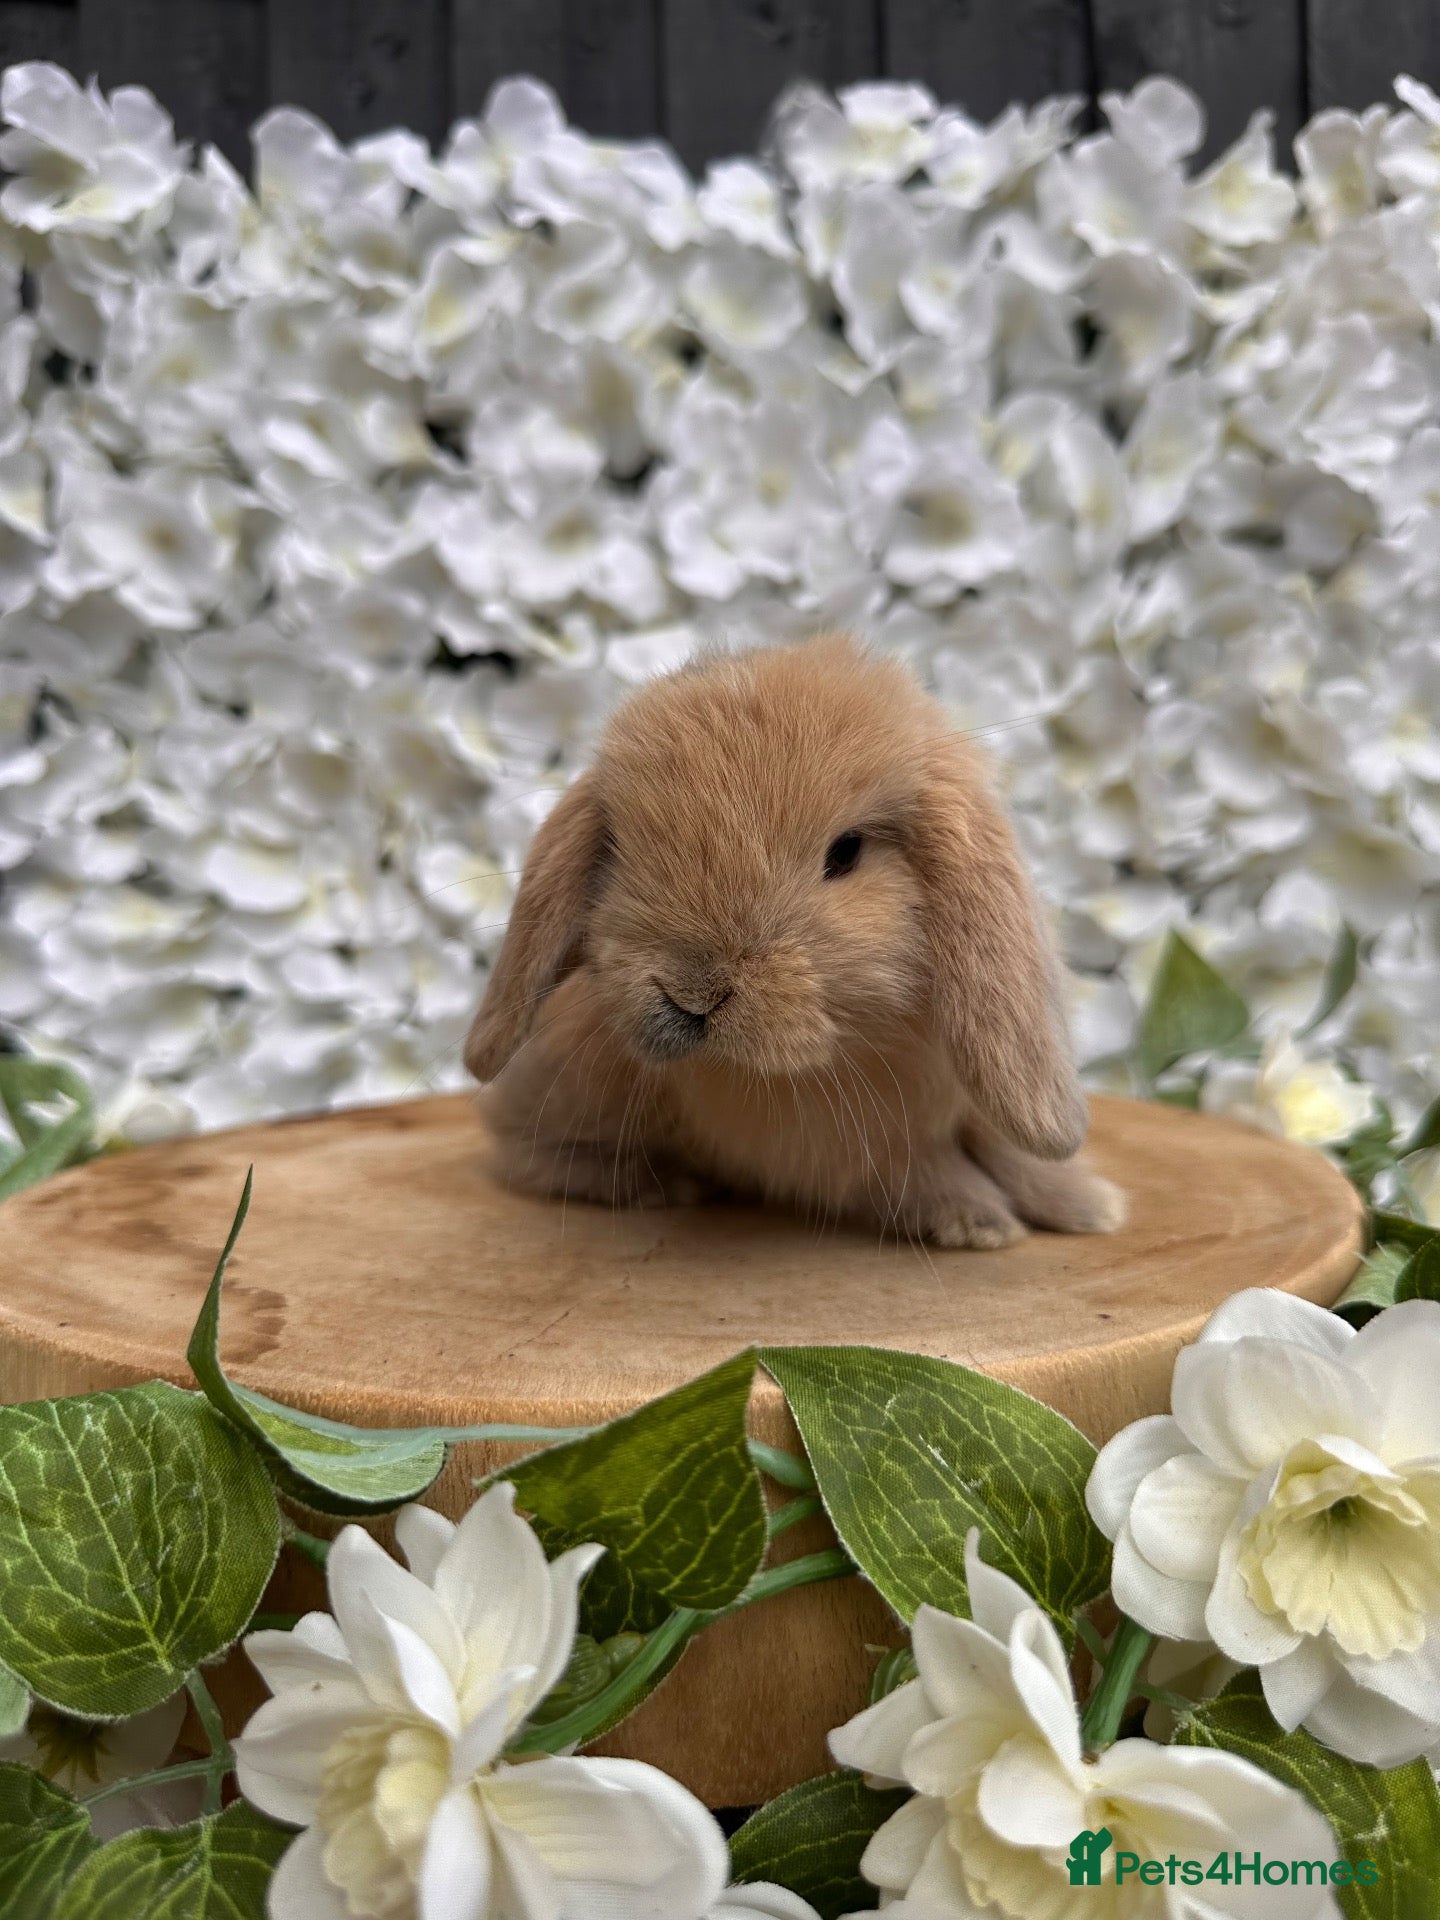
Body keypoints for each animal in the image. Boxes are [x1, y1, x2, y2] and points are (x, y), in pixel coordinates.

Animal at [463, 632, 1128, 1248]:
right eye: (619, 849)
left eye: (846, 853)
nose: (691, 994)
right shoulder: (843, 1150)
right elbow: (918, 1170)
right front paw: (980, 1223)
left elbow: (1014, 1154)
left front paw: (1091, 1207)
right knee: (526, 1155)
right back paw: (664, 1183)